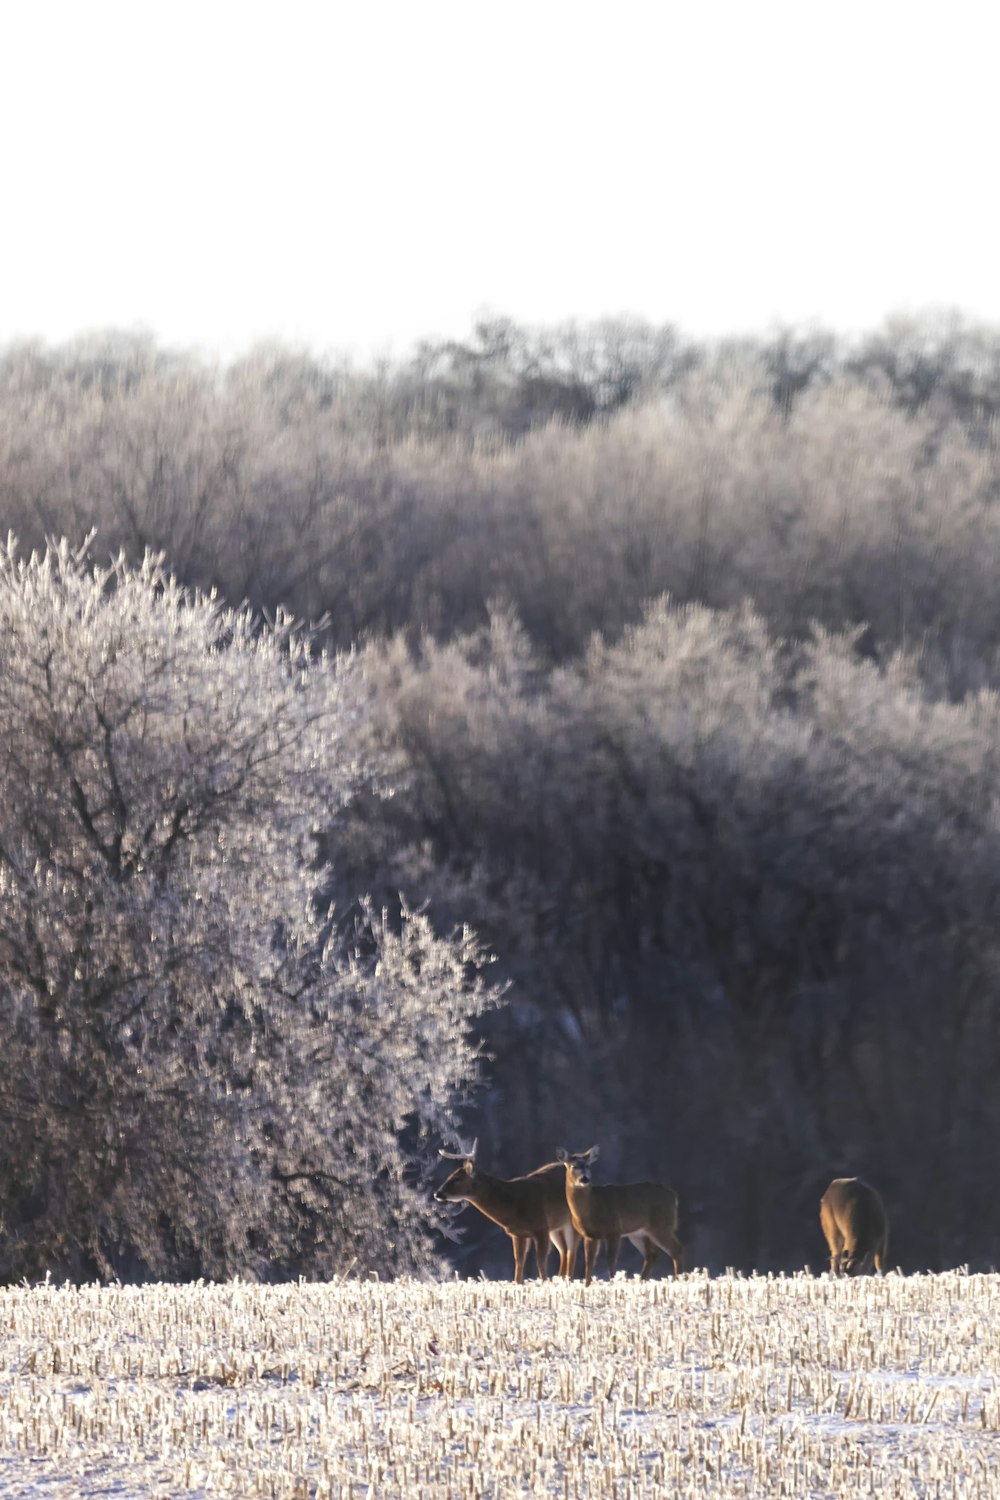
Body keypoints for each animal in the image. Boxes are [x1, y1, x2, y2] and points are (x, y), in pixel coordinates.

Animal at [434, 1140, 581, 1284]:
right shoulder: (518, 1233)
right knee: (564, 1250)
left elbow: (540, 1262)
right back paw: (561, 1279)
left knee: (571, 1251)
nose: (437, 1193)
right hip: (557, 1226)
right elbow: (519, 1262)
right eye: (449, 1176)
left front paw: (544, 1283)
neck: (513, 1205)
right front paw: (519, 1284)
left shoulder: (541, 1227)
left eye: (456, 1178)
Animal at [560, 1140, 683, 1284]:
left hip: (661, 1225)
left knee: (677, 1250)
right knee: (652, 1255)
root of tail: (672, 1195)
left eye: (588, 1166)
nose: (584, 1179)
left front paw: (613, 1283)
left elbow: (611, 1260)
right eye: (573, 1166)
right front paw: (587, 1285)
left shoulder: (614, 1229)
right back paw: (642, 1281)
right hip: (639, 1233)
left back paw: (680, 1280)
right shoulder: (590, 1235)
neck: (591, 1207)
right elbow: (589, 1262)